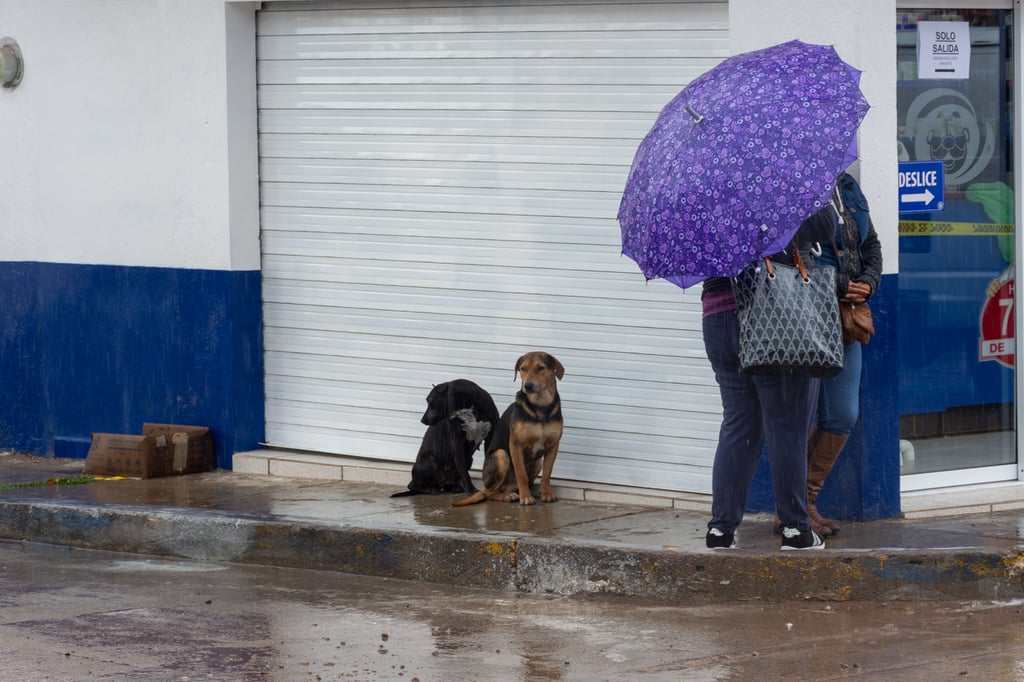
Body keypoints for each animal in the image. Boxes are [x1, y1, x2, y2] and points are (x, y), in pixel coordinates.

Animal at [454, 350, 565, 503]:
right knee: (489, 492)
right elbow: (521, 474)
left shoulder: (553, 445)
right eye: (523, 369)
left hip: (537, 462)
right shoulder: (515, 444)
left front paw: (546, 493)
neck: (540, 406)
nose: (527, 386)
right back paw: (507, 496)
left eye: (541, 368)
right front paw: (526, 497)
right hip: (502, 455)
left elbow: (547, 474)